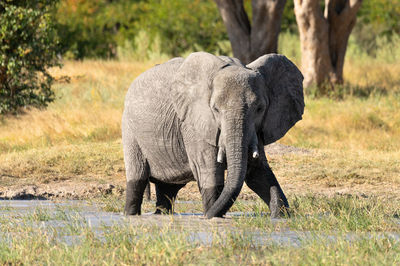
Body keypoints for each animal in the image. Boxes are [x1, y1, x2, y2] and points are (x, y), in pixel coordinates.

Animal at [122, 52, 304, 218]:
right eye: (215, 109)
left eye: (260, 109)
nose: (204, 216)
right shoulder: (193, 124)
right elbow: (209, 171)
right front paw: (212, 217)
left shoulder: (256, 129)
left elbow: (258, 174)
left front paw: (280, 216)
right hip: (129, 129)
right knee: (137, 179)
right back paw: (130, 215)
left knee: (167, 189)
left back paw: (162, 214)